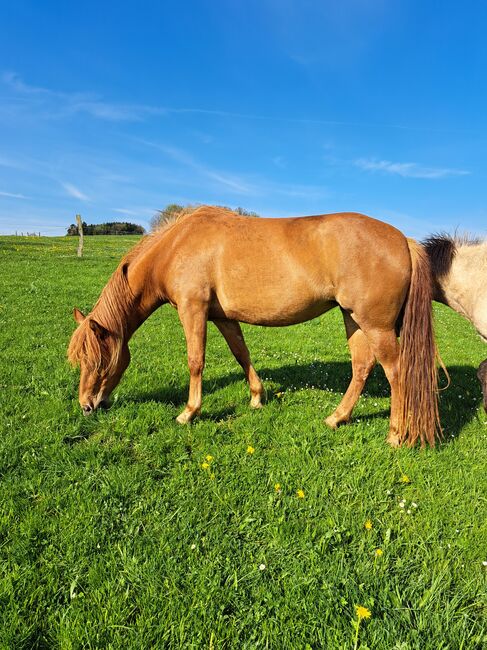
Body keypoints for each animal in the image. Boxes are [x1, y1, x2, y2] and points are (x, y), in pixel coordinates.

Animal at [67, 206, 442, 446]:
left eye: (98, 361)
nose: (86, 406)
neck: (176, 246)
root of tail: (404, 239)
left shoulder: (193, 310)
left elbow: (195, 361)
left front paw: (188, 413)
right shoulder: (223, 317)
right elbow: (241, 353)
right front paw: (257, 398)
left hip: (375, 326)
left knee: (395, 372)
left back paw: (395, 435)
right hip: (354, 319)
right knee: (362, 367)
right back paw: (337, 418)